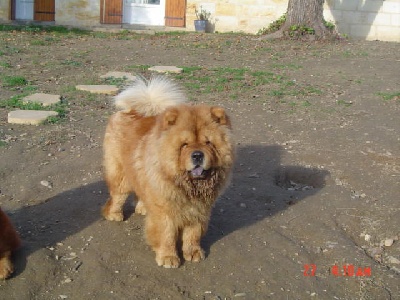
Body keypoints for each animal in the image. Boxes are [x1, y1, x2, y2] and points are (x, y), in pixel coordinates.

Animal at [102, 76, 234, 268]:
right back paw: (114, 214)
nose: (197, 155)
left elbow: (193, 233)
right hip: (121, 175)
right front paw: (168, 258)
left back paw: (142, 208)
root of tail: (129, 111)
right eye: (184, 144)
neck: (188, 186)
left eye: (208, 143)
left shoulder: (199, 210)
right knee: (118, 195)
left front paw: (194, 252)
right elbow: (167, 234)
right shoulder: (165, 211)